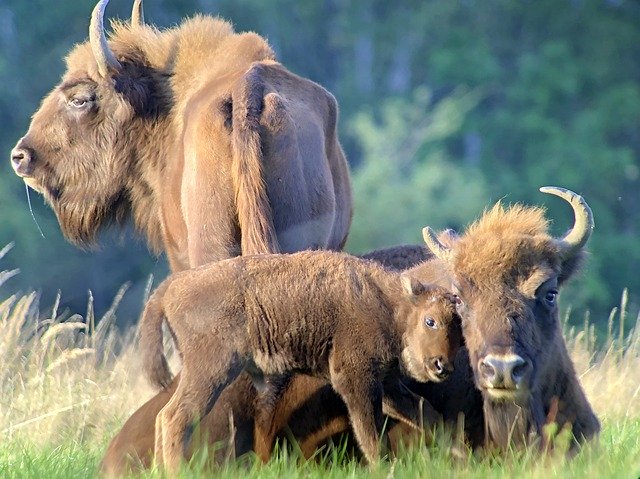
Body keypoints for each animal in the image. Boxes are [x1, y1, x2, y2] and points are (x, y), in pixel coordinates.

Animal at [138, 253, 462, 470]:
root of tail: (172, 286)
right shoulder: (356, 381)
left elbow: (424, 411)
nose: (442, 366)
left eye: (460, 332)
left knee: (165, 417)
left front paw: (459, 451)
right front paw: (384, 467)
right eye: (430, 320)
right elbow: (370, 432)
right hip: (210, 372)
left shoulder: (387, 383)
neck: (390, 304)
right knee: (175, 417)